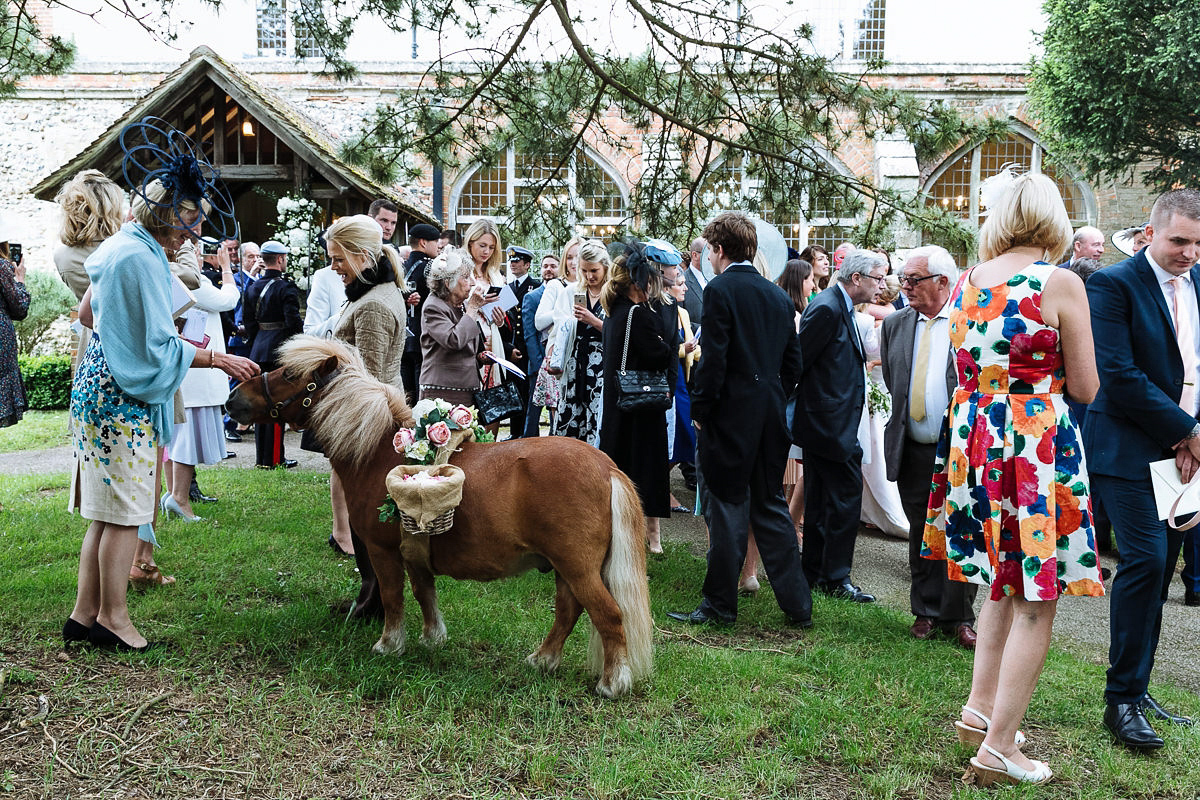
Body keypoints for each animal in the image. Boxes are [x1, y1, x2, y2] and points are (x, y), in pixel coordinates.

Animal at [228, 335, 652, 695]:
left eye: (289, 375)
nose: (233, 398)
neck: (378, 452)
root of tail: (607, 468)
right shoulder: (415, 546)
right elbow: (423, 591)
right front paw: (432, 638)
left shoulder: (383, 552)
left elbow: (393, 595)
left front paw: (389, 644)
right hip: (565, 568)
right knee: (568, 611)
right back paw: (543, 660)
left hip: (577, 567)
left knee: (608, 615)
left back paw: (612, 683)